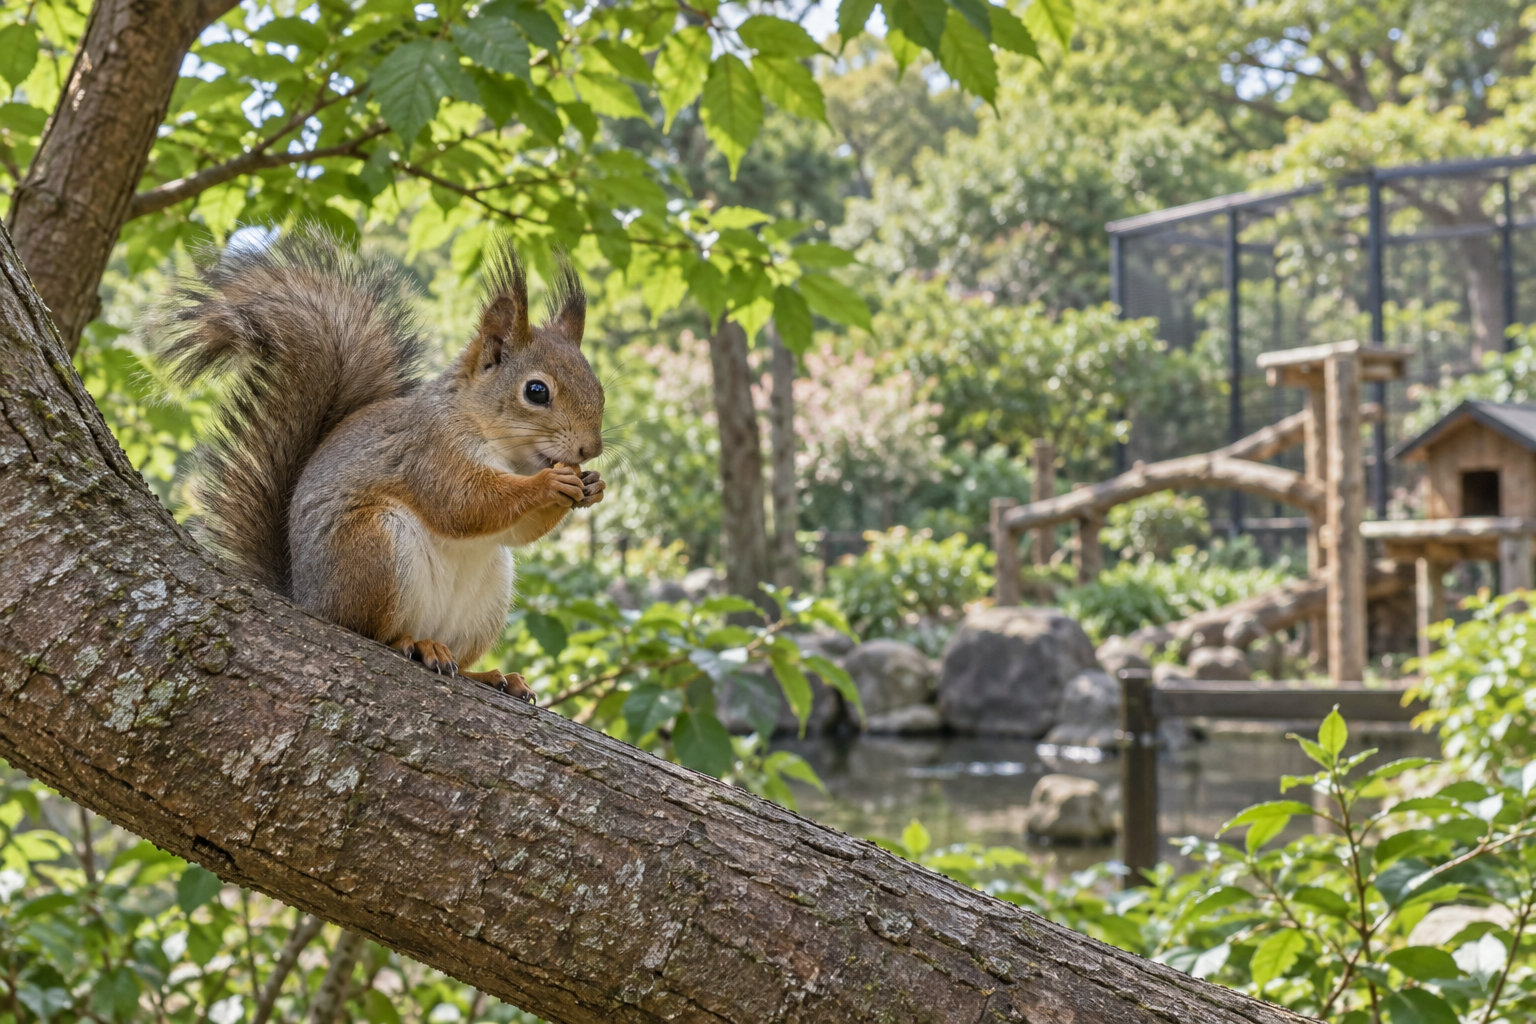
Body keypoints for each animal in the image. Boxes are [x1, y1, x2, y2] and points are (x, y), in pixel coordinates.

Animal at [158, 229, 605, 703]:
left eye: (598, 387)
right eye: (536, 391)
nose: (590, 449)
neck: (506, 451)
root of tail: (306, 598)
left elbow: (515, 531)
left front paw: (592, 486)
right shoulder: (429, 451)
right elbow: (464, 505)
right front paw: (549, 483)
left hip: (486, 597)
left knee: (459, 658)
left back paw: (488, 675)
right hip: (372, 549)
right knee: (372, 632)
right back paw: (417, 644)